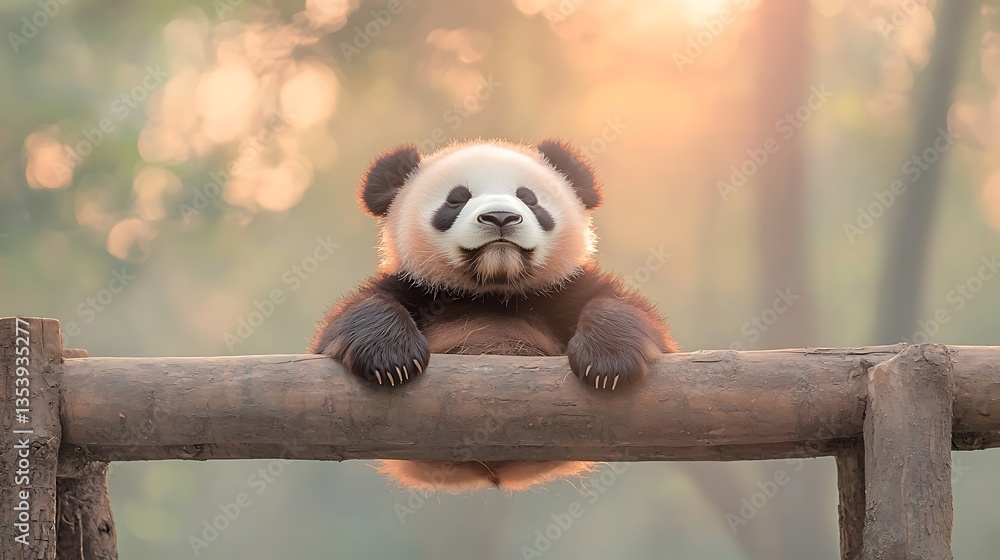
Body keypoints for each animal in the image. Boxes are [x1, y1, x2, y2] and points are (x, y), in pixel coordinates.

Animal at [310, 138, 676, 492]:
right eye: (456, 200)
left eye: (529, 199)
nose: (500, 217)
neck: (494, 286)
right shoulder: (417, 287)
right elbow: (351, 317)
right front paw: (392, 360)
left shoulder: (562, 288)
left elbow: (630, 313)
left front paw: (608, 364)